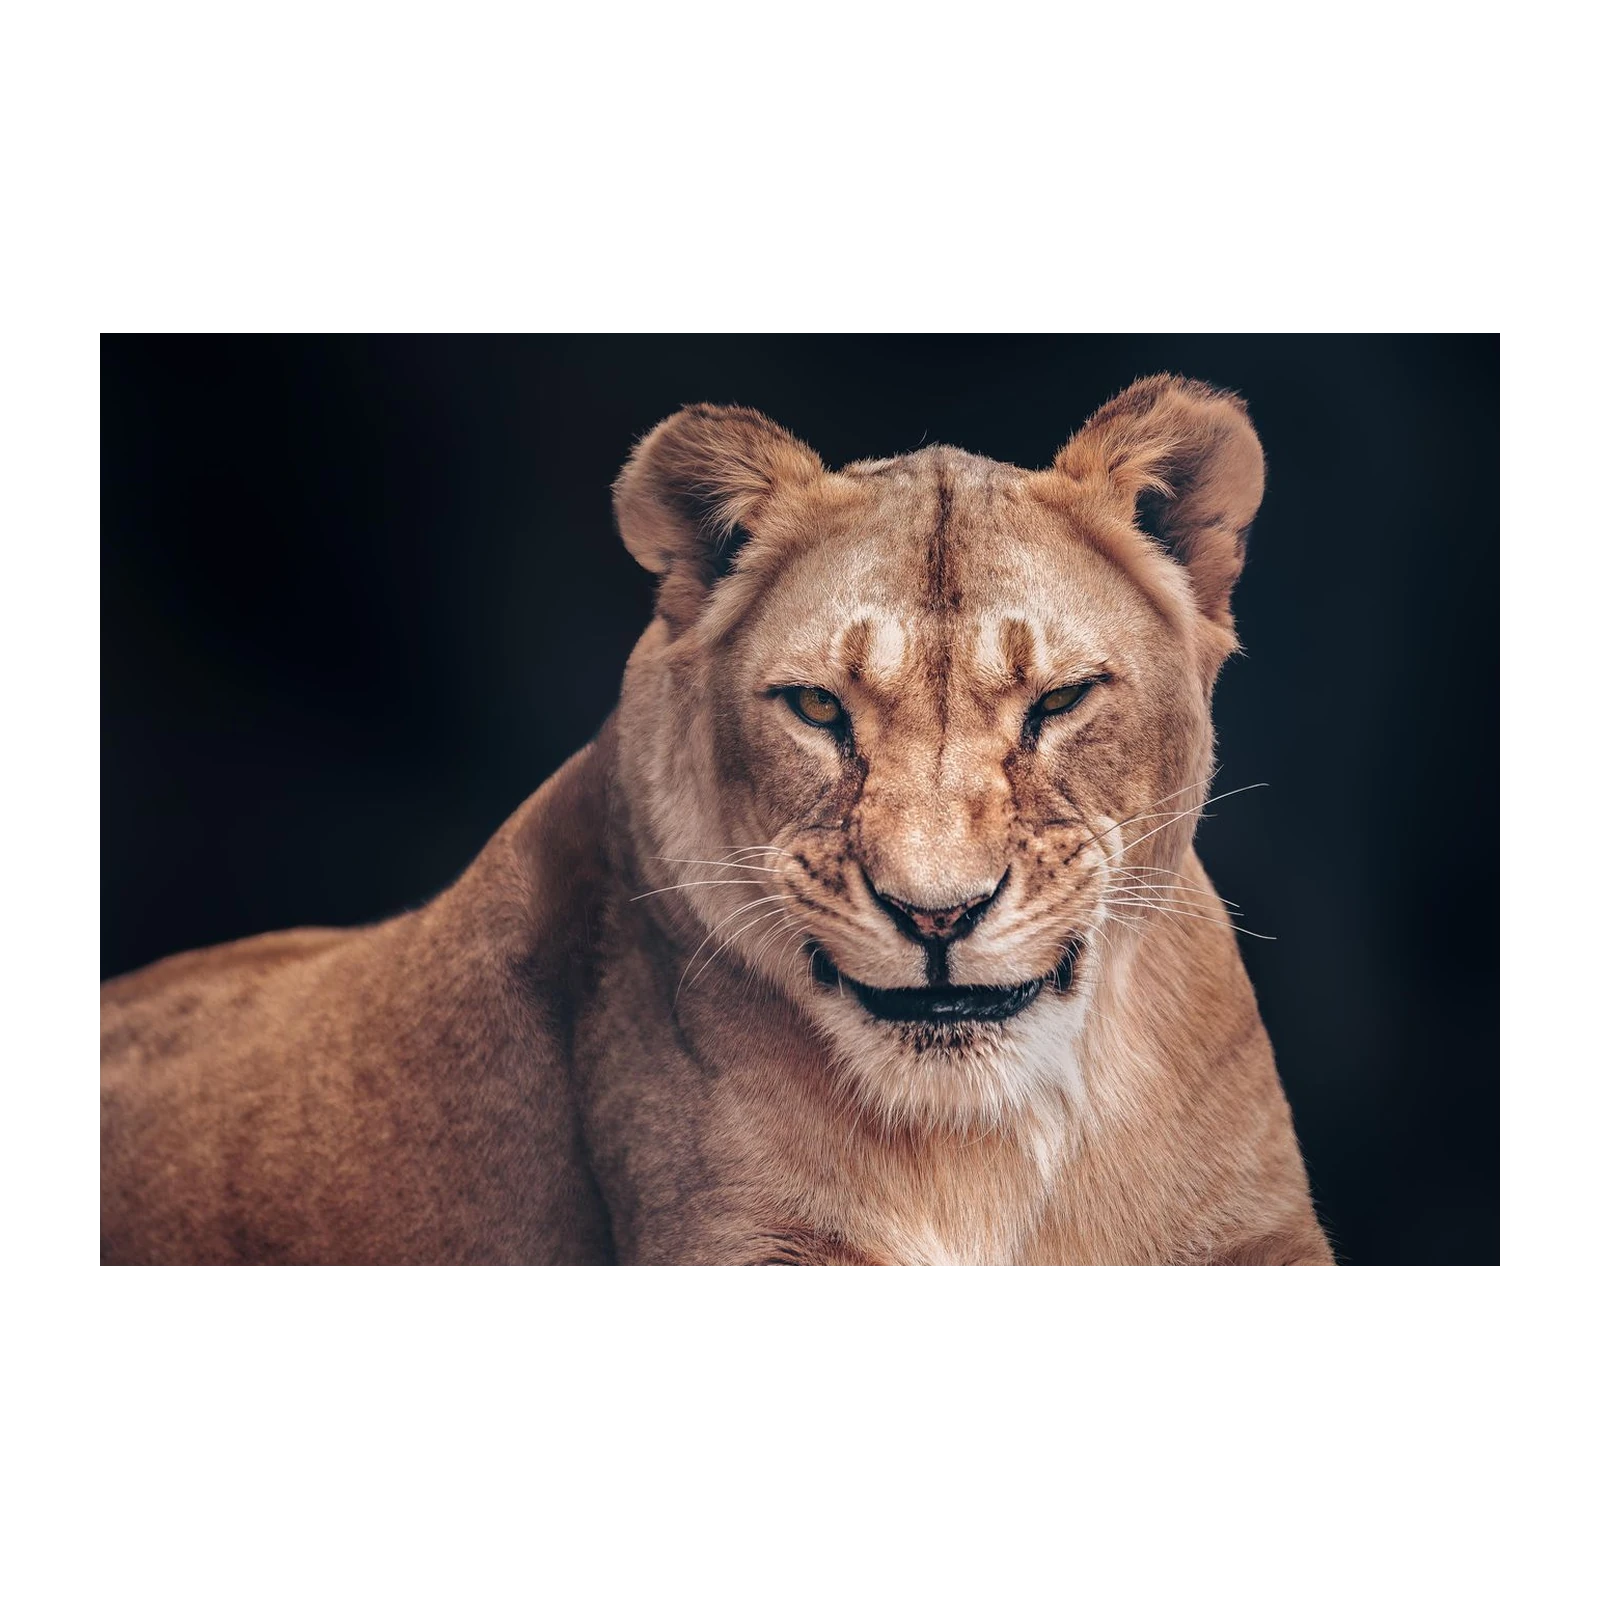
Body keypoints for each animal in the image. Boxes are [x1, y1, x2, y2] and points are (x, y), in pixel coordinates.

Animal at [98, 375, 1335, 1268]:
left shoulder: (1258, 1228)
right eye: (818, 707)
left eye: (1060, 701)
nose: (936, 916)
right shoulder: (741, 1237)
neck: (987, 1135)